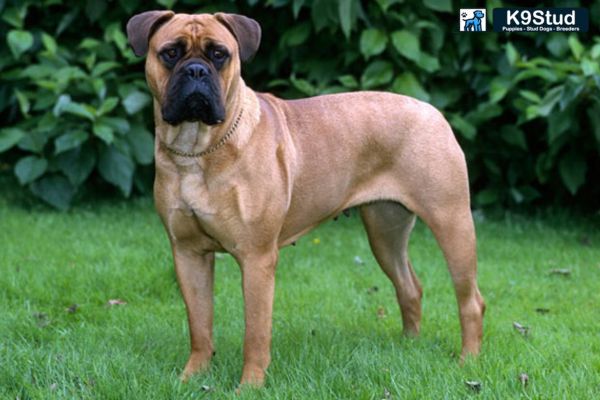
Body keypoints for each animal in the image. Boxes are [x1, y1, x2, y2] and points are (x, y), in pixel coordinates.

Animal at [126, 11, 488, 388]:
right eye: (170, 53)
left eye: (219, 54)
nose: (196, 70)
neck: (198, 149)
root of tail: (433, 112)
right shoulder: (188, 253)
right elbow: (199, 324)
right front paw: (191, 377)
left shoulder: (256, 258)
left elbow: (255, 332)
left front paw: (250, 385)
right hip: (385, 230)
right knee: (409, 286)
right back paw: (409, 347)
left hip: (452, 222)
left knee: (470, 300)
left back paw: (468, 362)